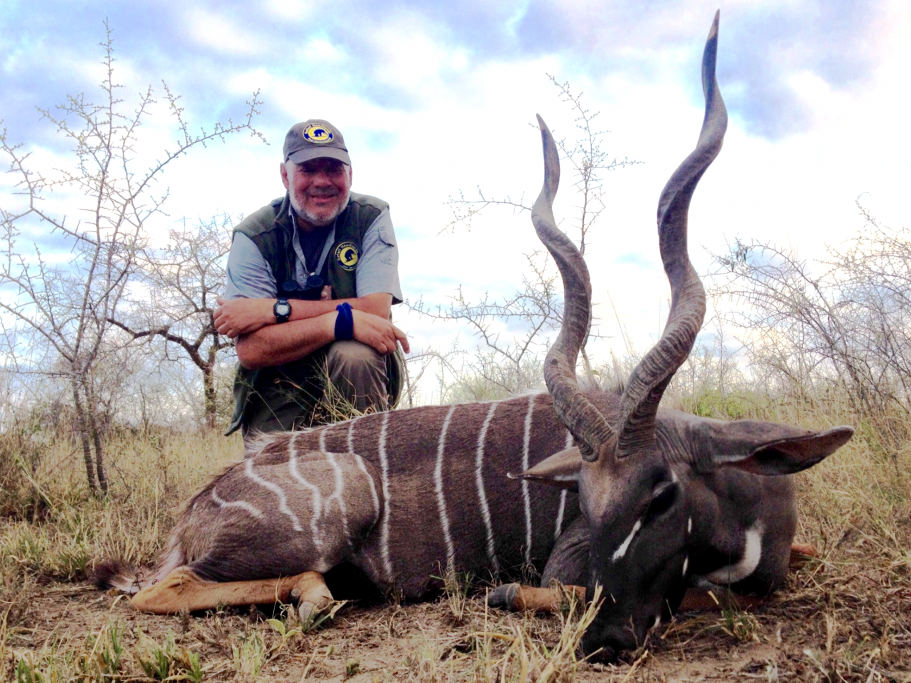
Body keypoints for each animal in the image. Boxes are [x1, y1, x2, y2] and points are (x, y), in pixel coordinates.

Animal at [98, 12, 856, 664]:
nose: (604, 640)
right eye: (584, 502)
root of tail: (193, 513)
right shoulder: (572, 566)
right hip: (330, 505)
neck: (746, 507)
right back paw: (314, 595)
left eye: (662, 493)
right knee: (161, 590)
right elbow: (671, 593)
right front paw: (506, 593)